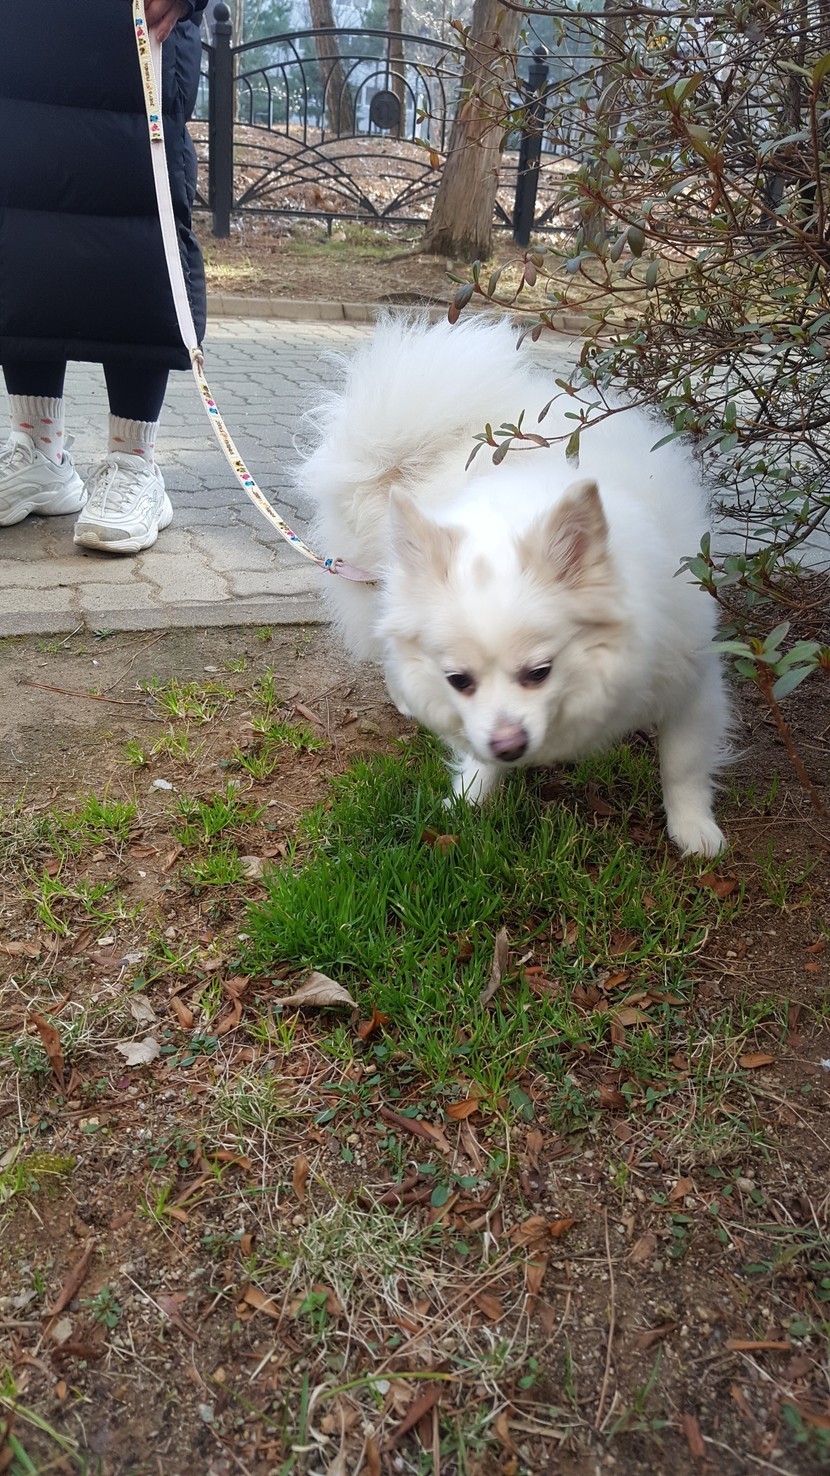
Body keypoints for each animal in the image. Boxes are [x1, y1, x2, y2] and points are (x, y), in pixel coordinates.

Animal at [299, 314, 728, 858]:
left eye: (540, 672)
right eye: (459, 681)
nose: (510, 745)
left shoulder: (691, 681)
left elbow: (683, 764)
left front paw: (694, 829)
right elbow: (475, 750)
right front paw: (470, 797)